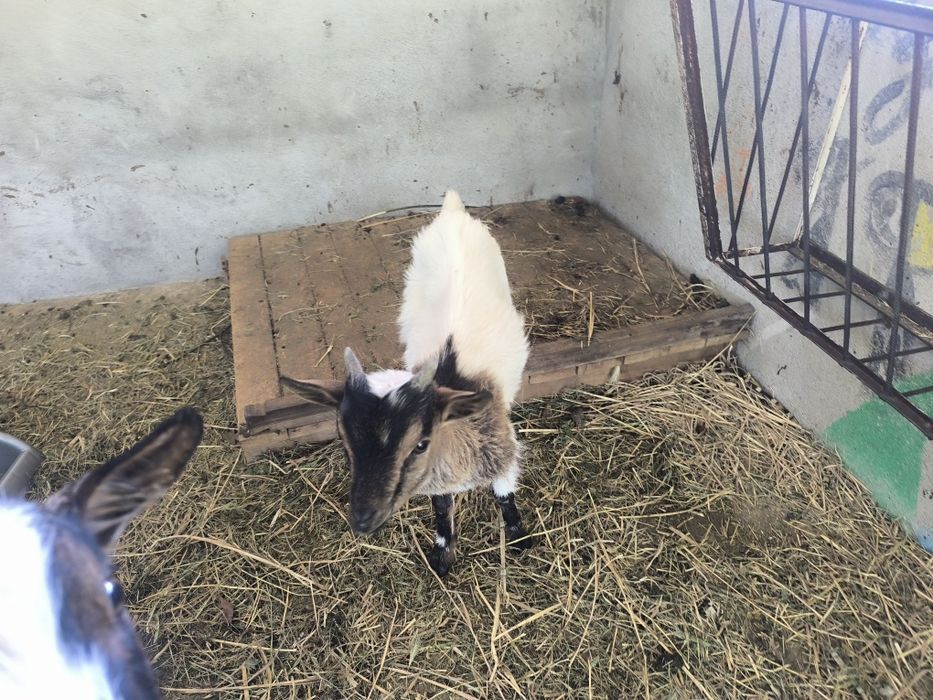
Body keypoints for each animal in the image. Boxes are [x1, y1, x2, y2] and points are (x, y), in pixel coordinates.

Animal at [282, 190, 534, 576]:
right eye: (344, 442)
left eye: (420, 443)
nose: (362, 520)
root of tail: (451, 211)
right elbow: (442, 508)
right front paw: (443, 554)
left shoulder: (504, 453)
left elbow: (504, 496)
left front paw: (519, 537)